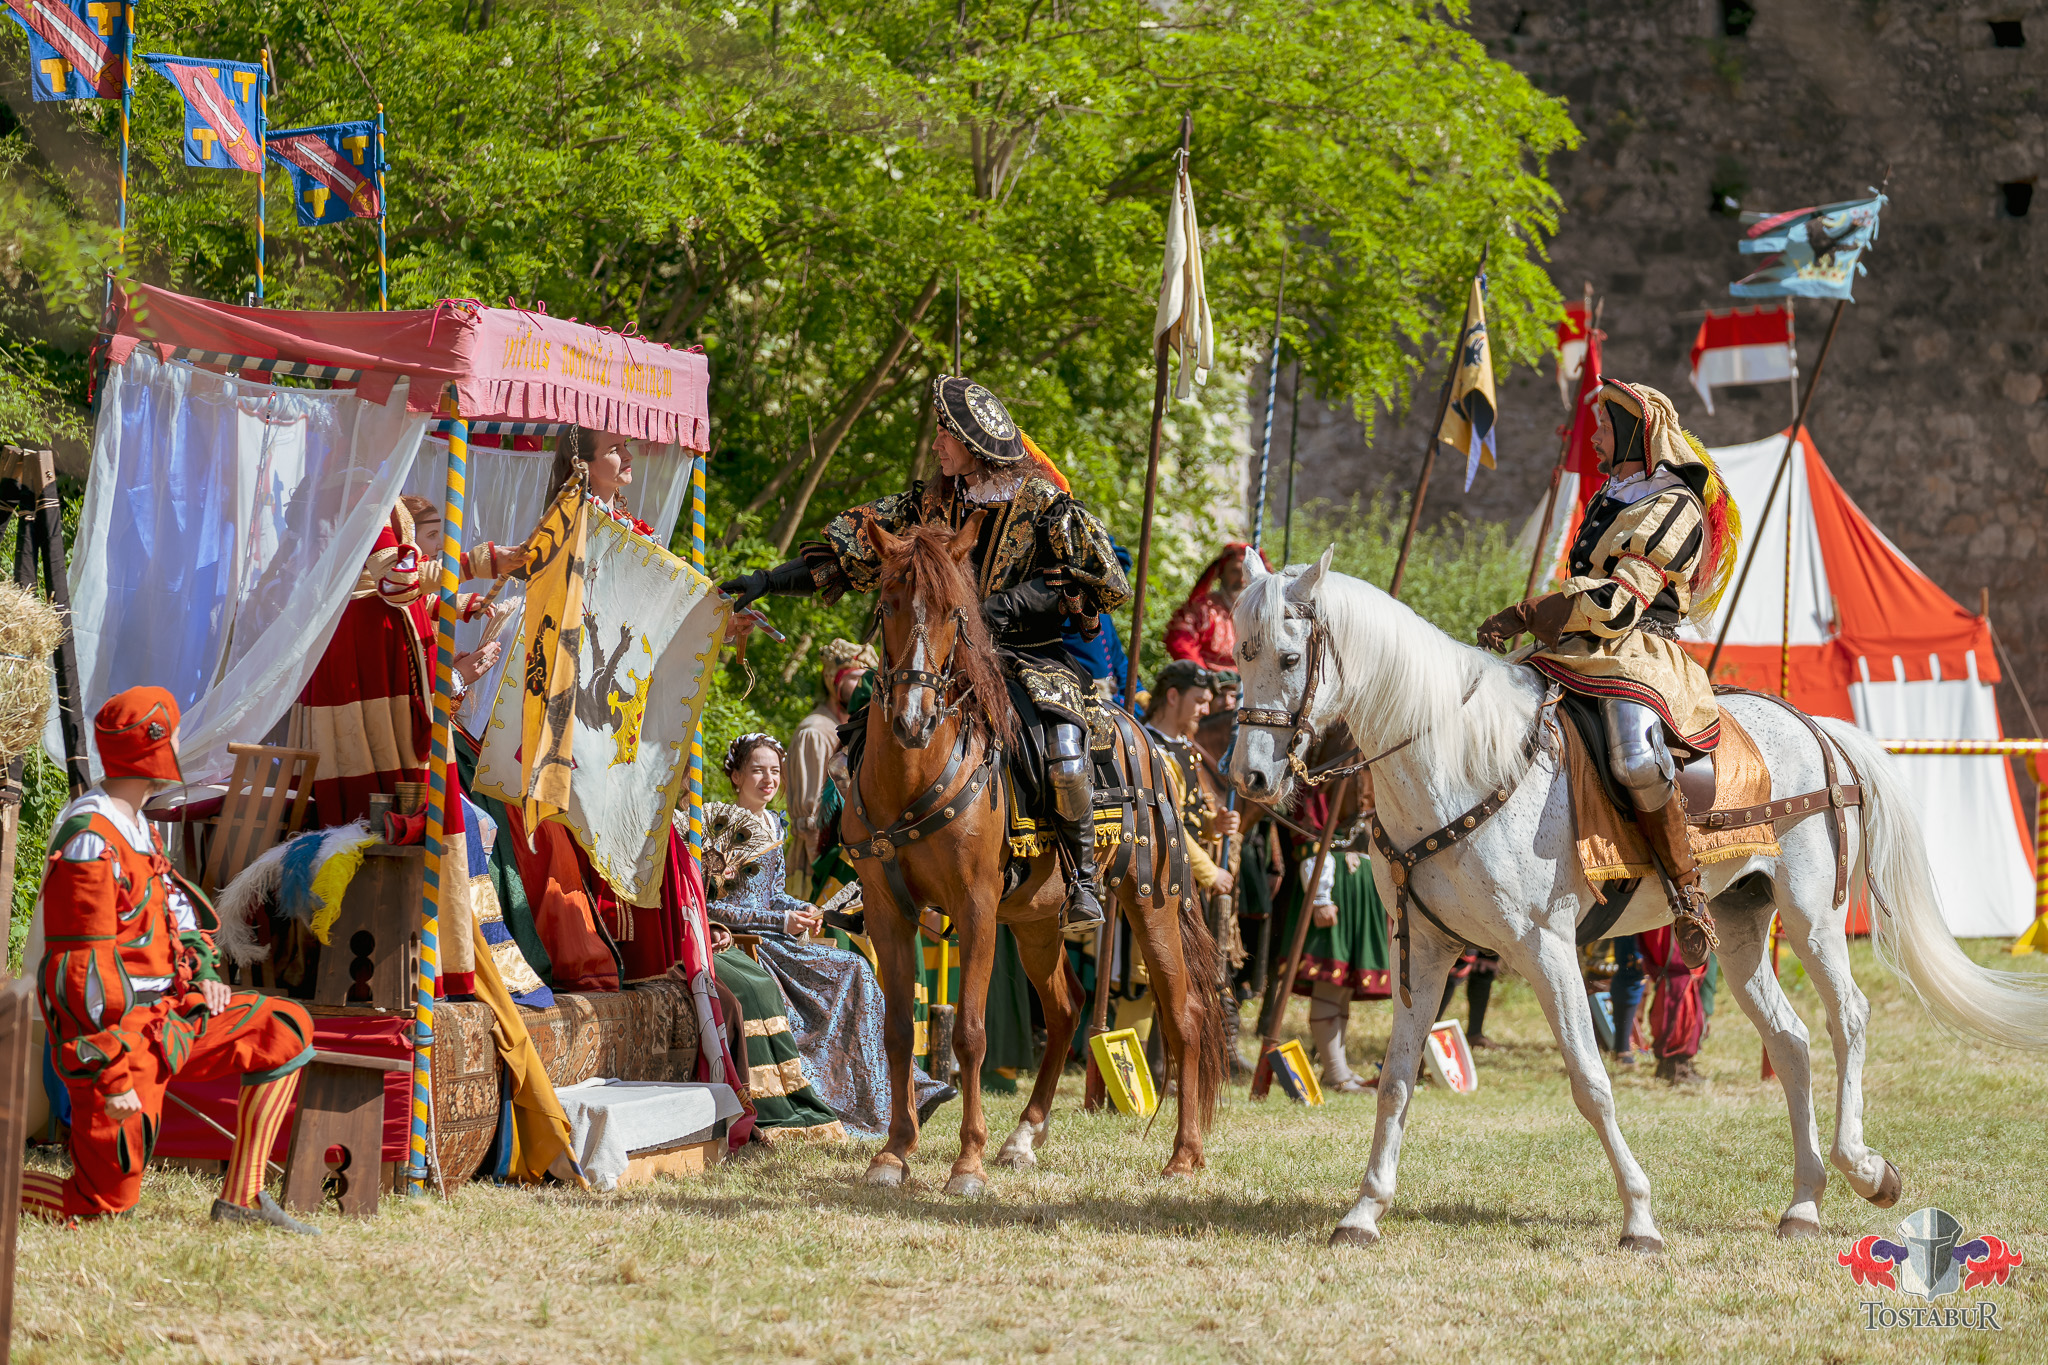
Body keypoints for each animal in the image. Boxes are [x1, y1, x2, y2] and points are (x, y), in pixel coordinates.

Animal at [839, 517, 1220, 1186]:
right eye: (886, 605)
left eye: (955, 613)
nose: (913, 718)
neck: (914, 773)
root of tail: (1147, 738)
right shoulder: (889, 912)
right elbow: (896, 1030)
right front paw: (894, 1151)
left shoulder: (975, 907)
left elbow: (968, 1033)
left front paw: (967, 1162)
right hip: (1038, 919)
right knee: (1067, 1009)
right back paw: (1023, 1136)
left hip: (1152, 899)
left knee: (1185, 1016)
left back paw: (1183, 1156)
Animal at [1220, 548, 2048, 1252]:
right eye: (1240, 654)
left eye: (1289, 658)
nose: (1250, 777)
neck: (1455, 757)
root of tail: (1819, 730)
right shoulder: (1425, 949)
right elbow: (1394, 1082)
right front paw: (1363, 1210)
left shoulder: (1545, 946)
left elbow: (1591, 1082)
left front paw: (1641, 1218)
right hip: (1741, 927)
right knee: (1790, 1041)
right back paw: (1804, 1202)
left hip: (1813, 917)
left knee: (1847, 1017)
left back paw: (1865, 1167)